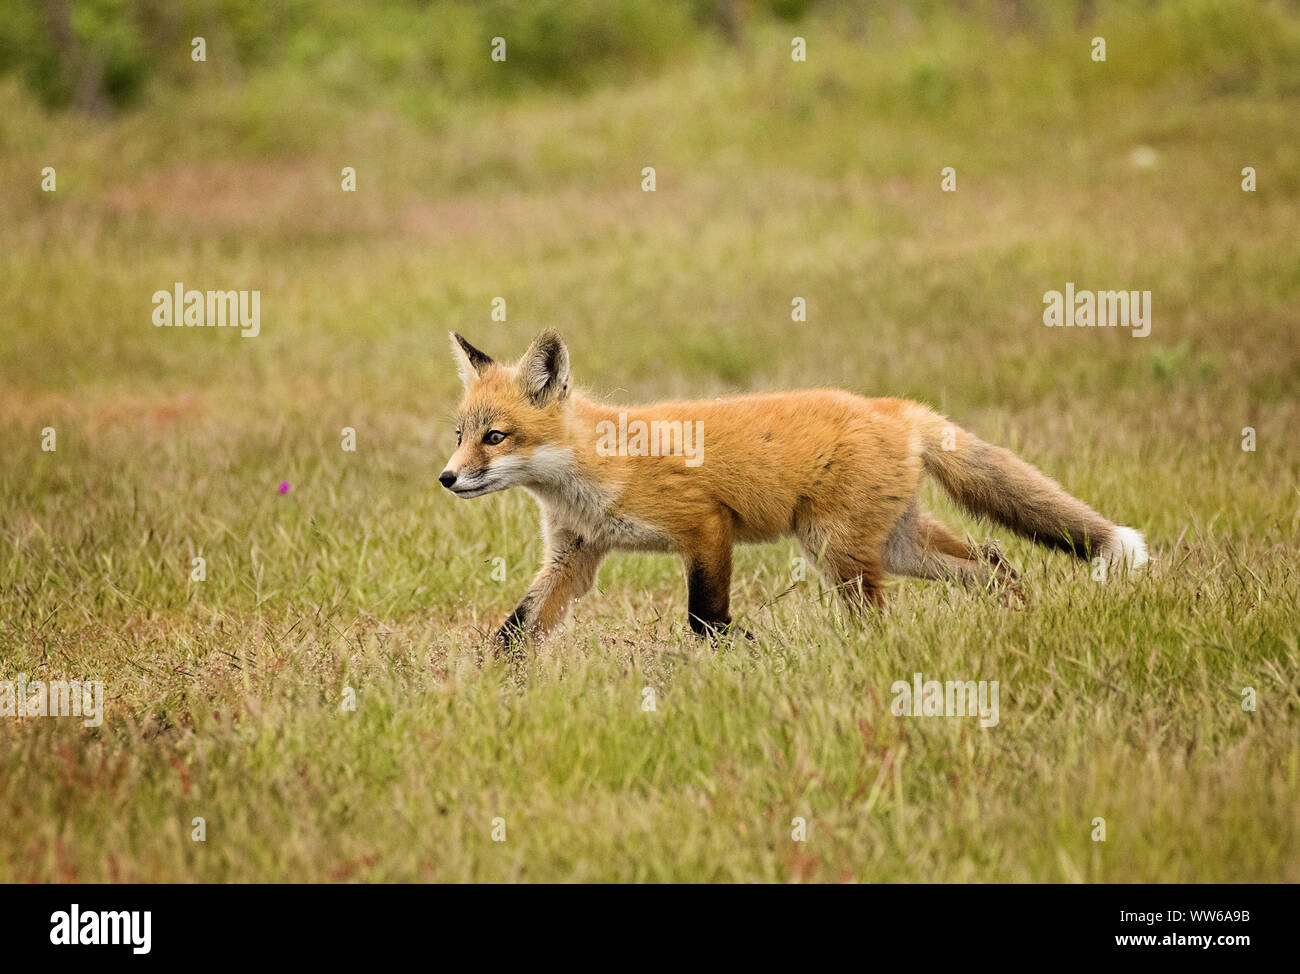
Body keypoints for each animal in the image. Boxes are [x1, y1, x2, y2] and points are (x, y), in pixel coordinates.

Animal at [441, 329, 1148, 647]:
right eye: (460, 433)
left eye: (496, 437)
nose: (446, 478)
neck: (592, 469)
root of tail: (895, 407)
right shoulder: (575, 554)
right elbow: (516, 629)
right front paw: (491, 687)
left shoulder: (705, 526)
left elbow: (705, 619)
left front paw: (744, 655)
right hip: (895, 547)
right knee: (994, 560)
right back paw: (1019, 615)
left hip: (837, 548)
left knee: (879, 617)